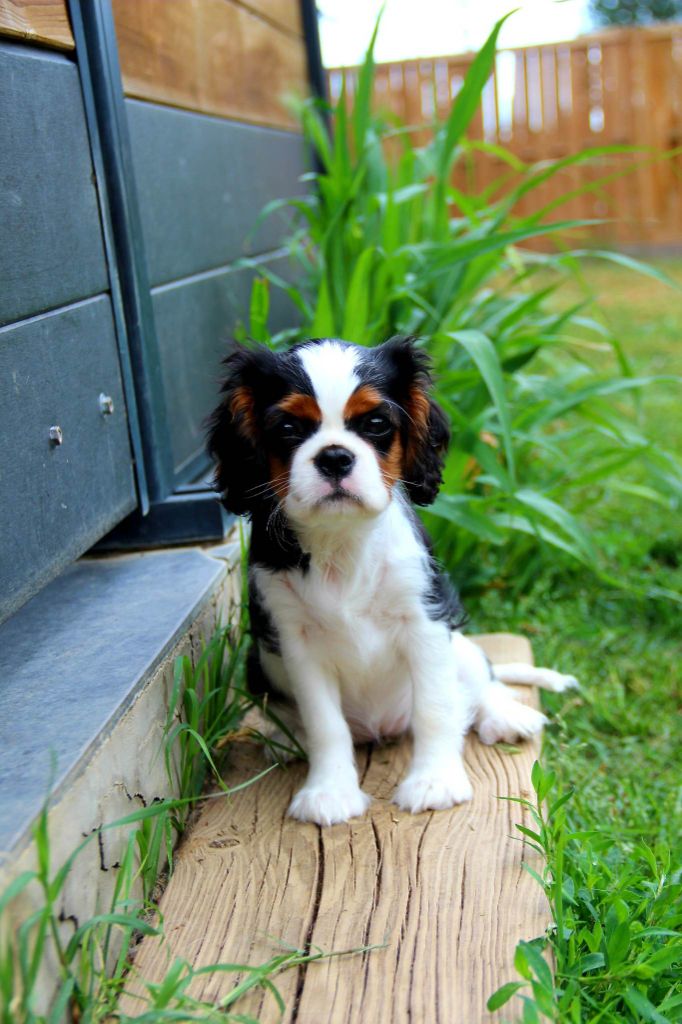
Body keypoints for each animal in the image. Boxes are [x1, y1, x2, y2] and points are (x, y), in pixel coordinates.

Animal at [205, 339, 573, 827]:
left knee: (479, 681)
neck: (342, 541)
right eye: (287, 427)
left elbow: (436, 707)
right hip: (258, 662)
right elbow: (325, 725)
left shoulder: (426, 620)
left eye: (376, 424)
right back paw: (283, 739)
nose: (335, 456)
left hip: (460, 646)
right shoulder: (295, 640)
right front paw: (330, 791)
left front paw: (434, 782)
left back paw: (505, 716)